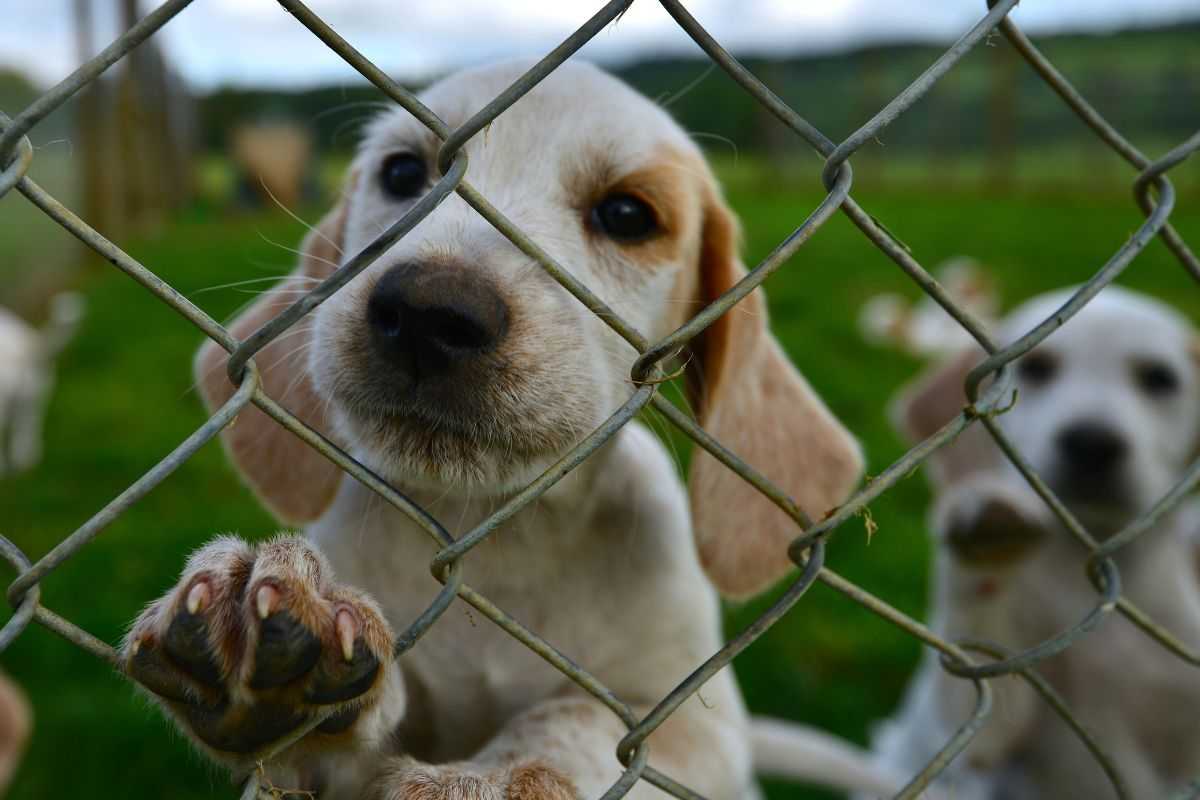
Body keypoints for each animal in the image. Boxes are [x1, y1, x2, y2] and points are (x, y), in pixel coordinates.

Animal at [121, 62, 878, 800]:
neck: (502, 540)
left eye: (627, 214)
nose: (428, 312)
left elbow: (580, 718)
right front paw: (274, 645)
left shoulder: (700, 732)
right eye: (403, 173)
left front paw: (491, 777)